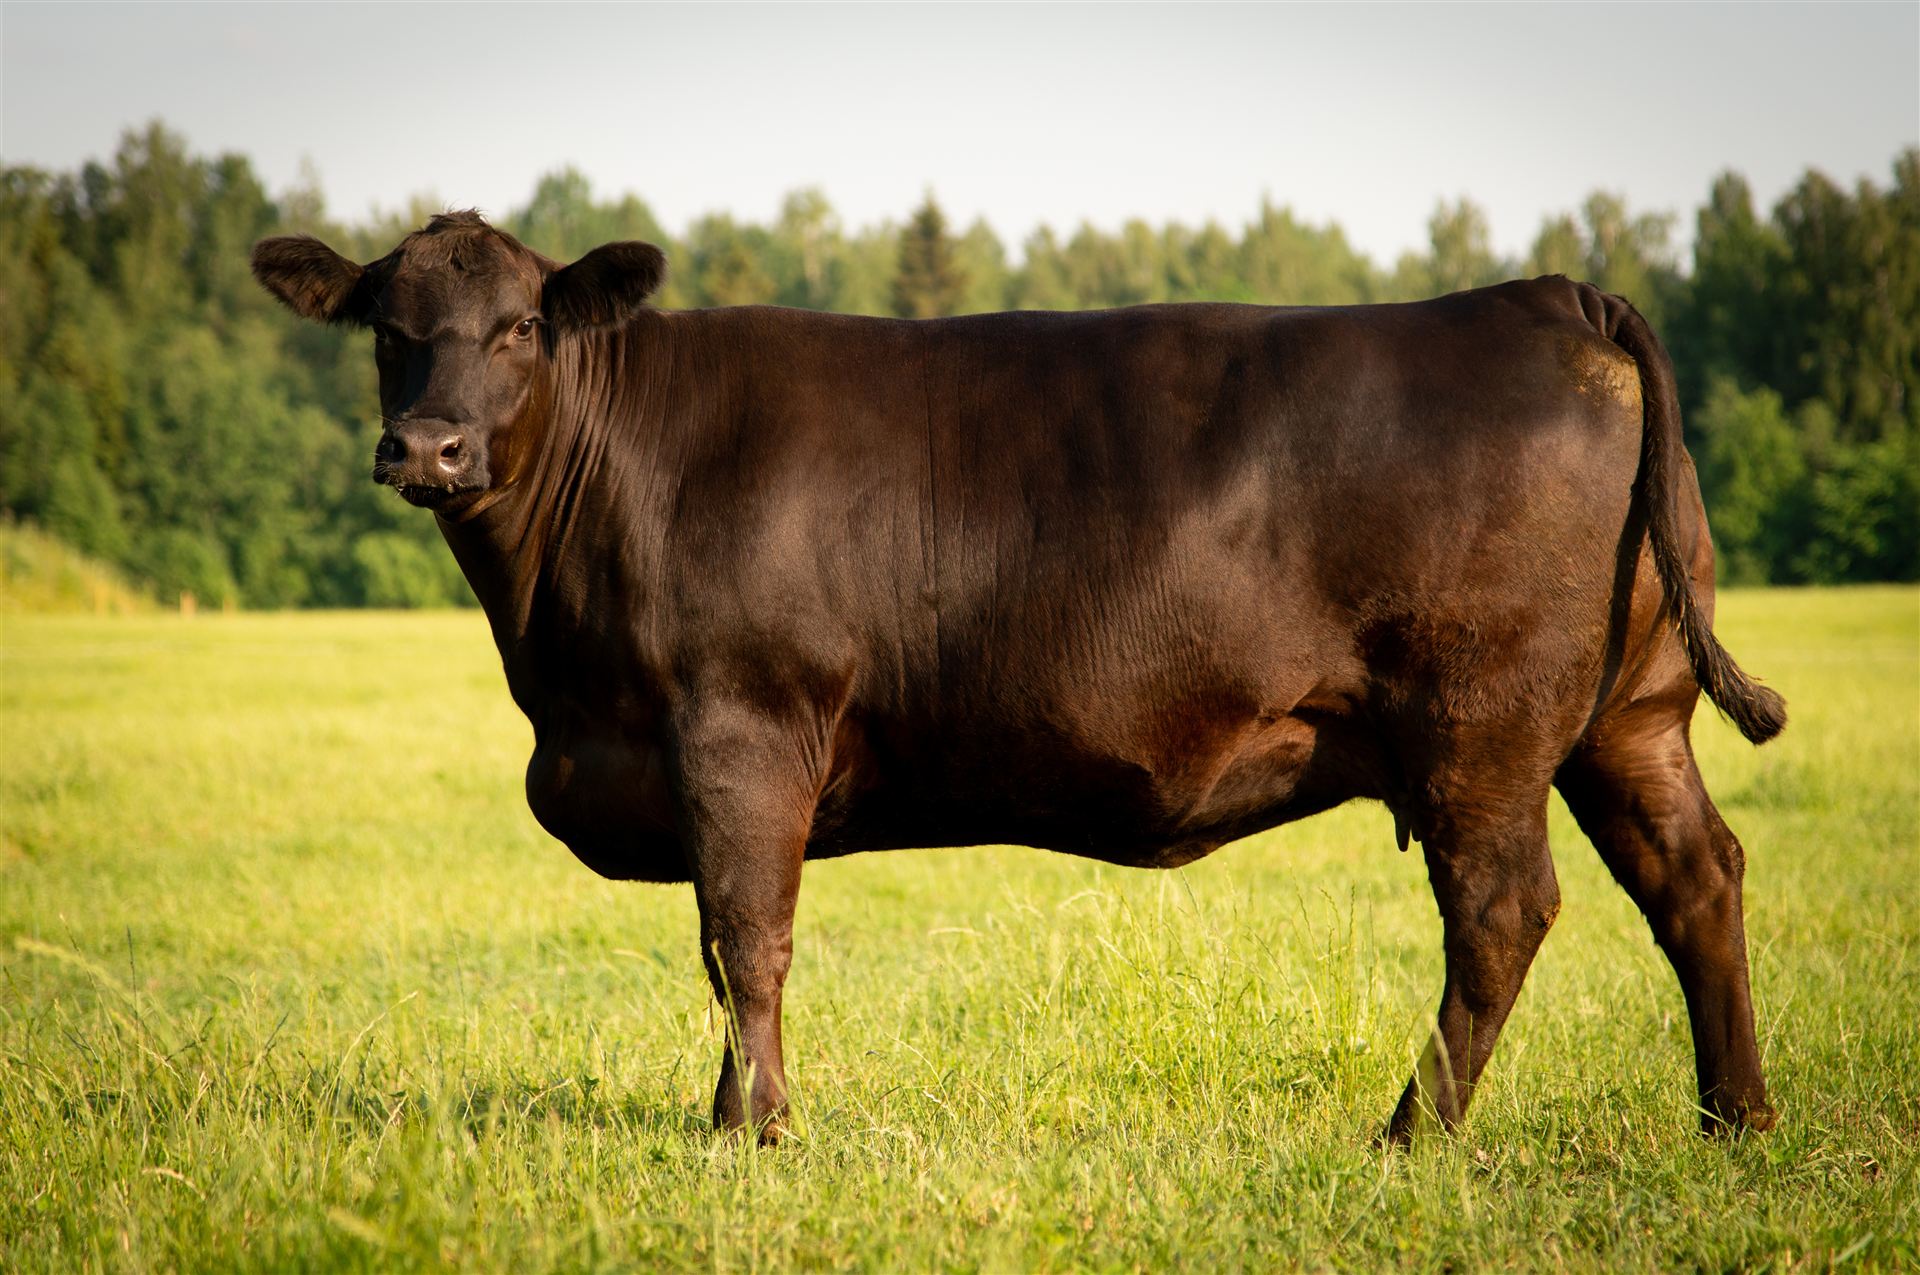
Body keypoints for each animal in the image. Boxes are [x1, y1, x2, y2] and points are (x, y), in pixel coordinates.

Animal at [251, 211, 1785, 1145]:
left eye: (520, 326)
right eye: (388, 326)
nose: (431, 447)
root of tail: (1546, 295)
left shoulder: (741, 724)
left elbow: (744, 936)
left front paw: (757, 1131)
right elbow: (722, 945)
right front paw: (726, 1116)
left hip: (1481, 727)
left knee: (1504, 911)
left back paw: (1410, 1134)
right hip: (1629, 715)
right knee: (1695, 874)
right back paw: (1737, 1118)